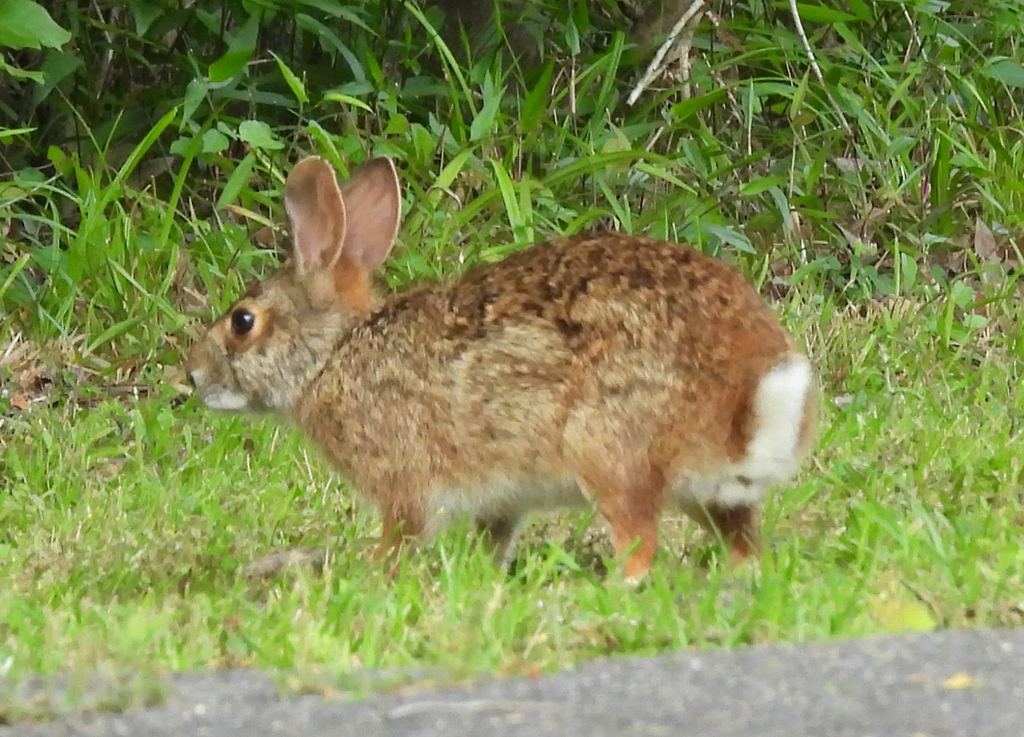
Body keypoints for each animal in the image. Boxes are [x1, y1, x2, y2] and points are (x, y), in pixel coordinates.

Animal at [186, 155, 817, 582]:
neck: (333, 353)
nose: (193, 377)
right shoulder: (500, 501)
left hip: (606, 450)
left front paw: (375, 577)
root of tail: (746, 397)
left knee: (640, 544)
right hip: (712, 496)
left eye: (243, 322)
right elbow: (494, 537)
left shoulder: (404, 483)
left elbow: (401, 534)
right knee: (743, 546)